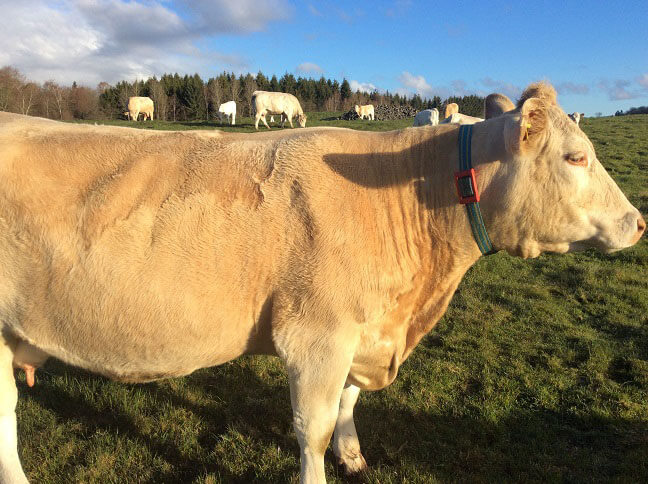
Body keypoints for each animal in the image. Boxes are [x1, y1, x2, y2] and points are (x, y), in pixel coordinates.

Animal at [0, 81, 644, 482]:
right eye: (575, 157)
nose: (639, 222)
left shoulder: (363, 328)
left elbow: (349, 403)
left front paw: (354, 455)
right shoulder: (316, 336)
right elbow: (313, 429)